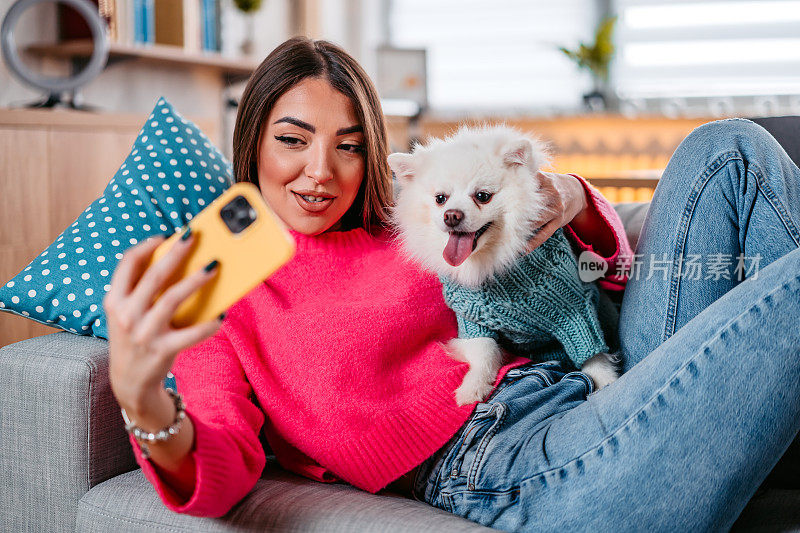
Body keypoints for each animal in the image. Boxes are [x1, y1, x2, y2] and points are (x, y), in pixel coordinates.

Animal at [384, 123, 620, 404]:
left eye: (482, 196)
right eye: (440, 199)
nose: (451, 215)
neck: (492, 261)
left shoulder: (573, 310)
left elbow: (591, 353)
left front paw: (607, 382)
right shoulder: (473, 319)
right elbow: (484, 353)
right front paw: (474, 386)